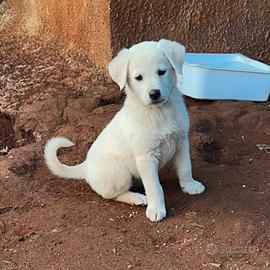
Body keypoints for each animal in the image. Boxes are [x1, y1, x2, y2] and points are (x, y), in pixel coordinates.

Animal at [43, 39, 205, 221]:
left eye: (161, 72)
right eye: (138, 77)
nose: (154, 94)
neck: (159, 112)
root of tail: (85, 167)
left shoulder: (182, 141)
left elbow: (185, 167)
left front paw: (190, 186)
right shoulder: (145, 156)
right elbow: (155, 187)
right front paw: (156, 209)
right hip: (119, 171)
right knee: (112, 195)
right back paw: (138, 198)